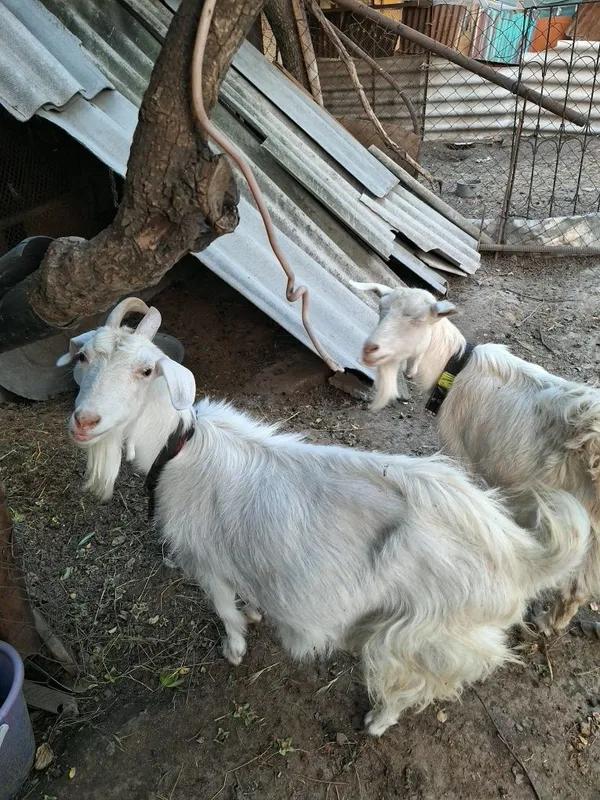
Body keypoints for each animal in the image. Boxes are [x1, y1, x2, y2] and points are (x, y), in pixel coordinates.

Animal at [352, 280, 598, 634]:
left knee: (578, 587)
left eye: (417, 320)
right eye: (381, 310)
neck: (453, 368)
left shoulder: (457, 450)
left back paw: (546, 623)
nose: (370, 349)